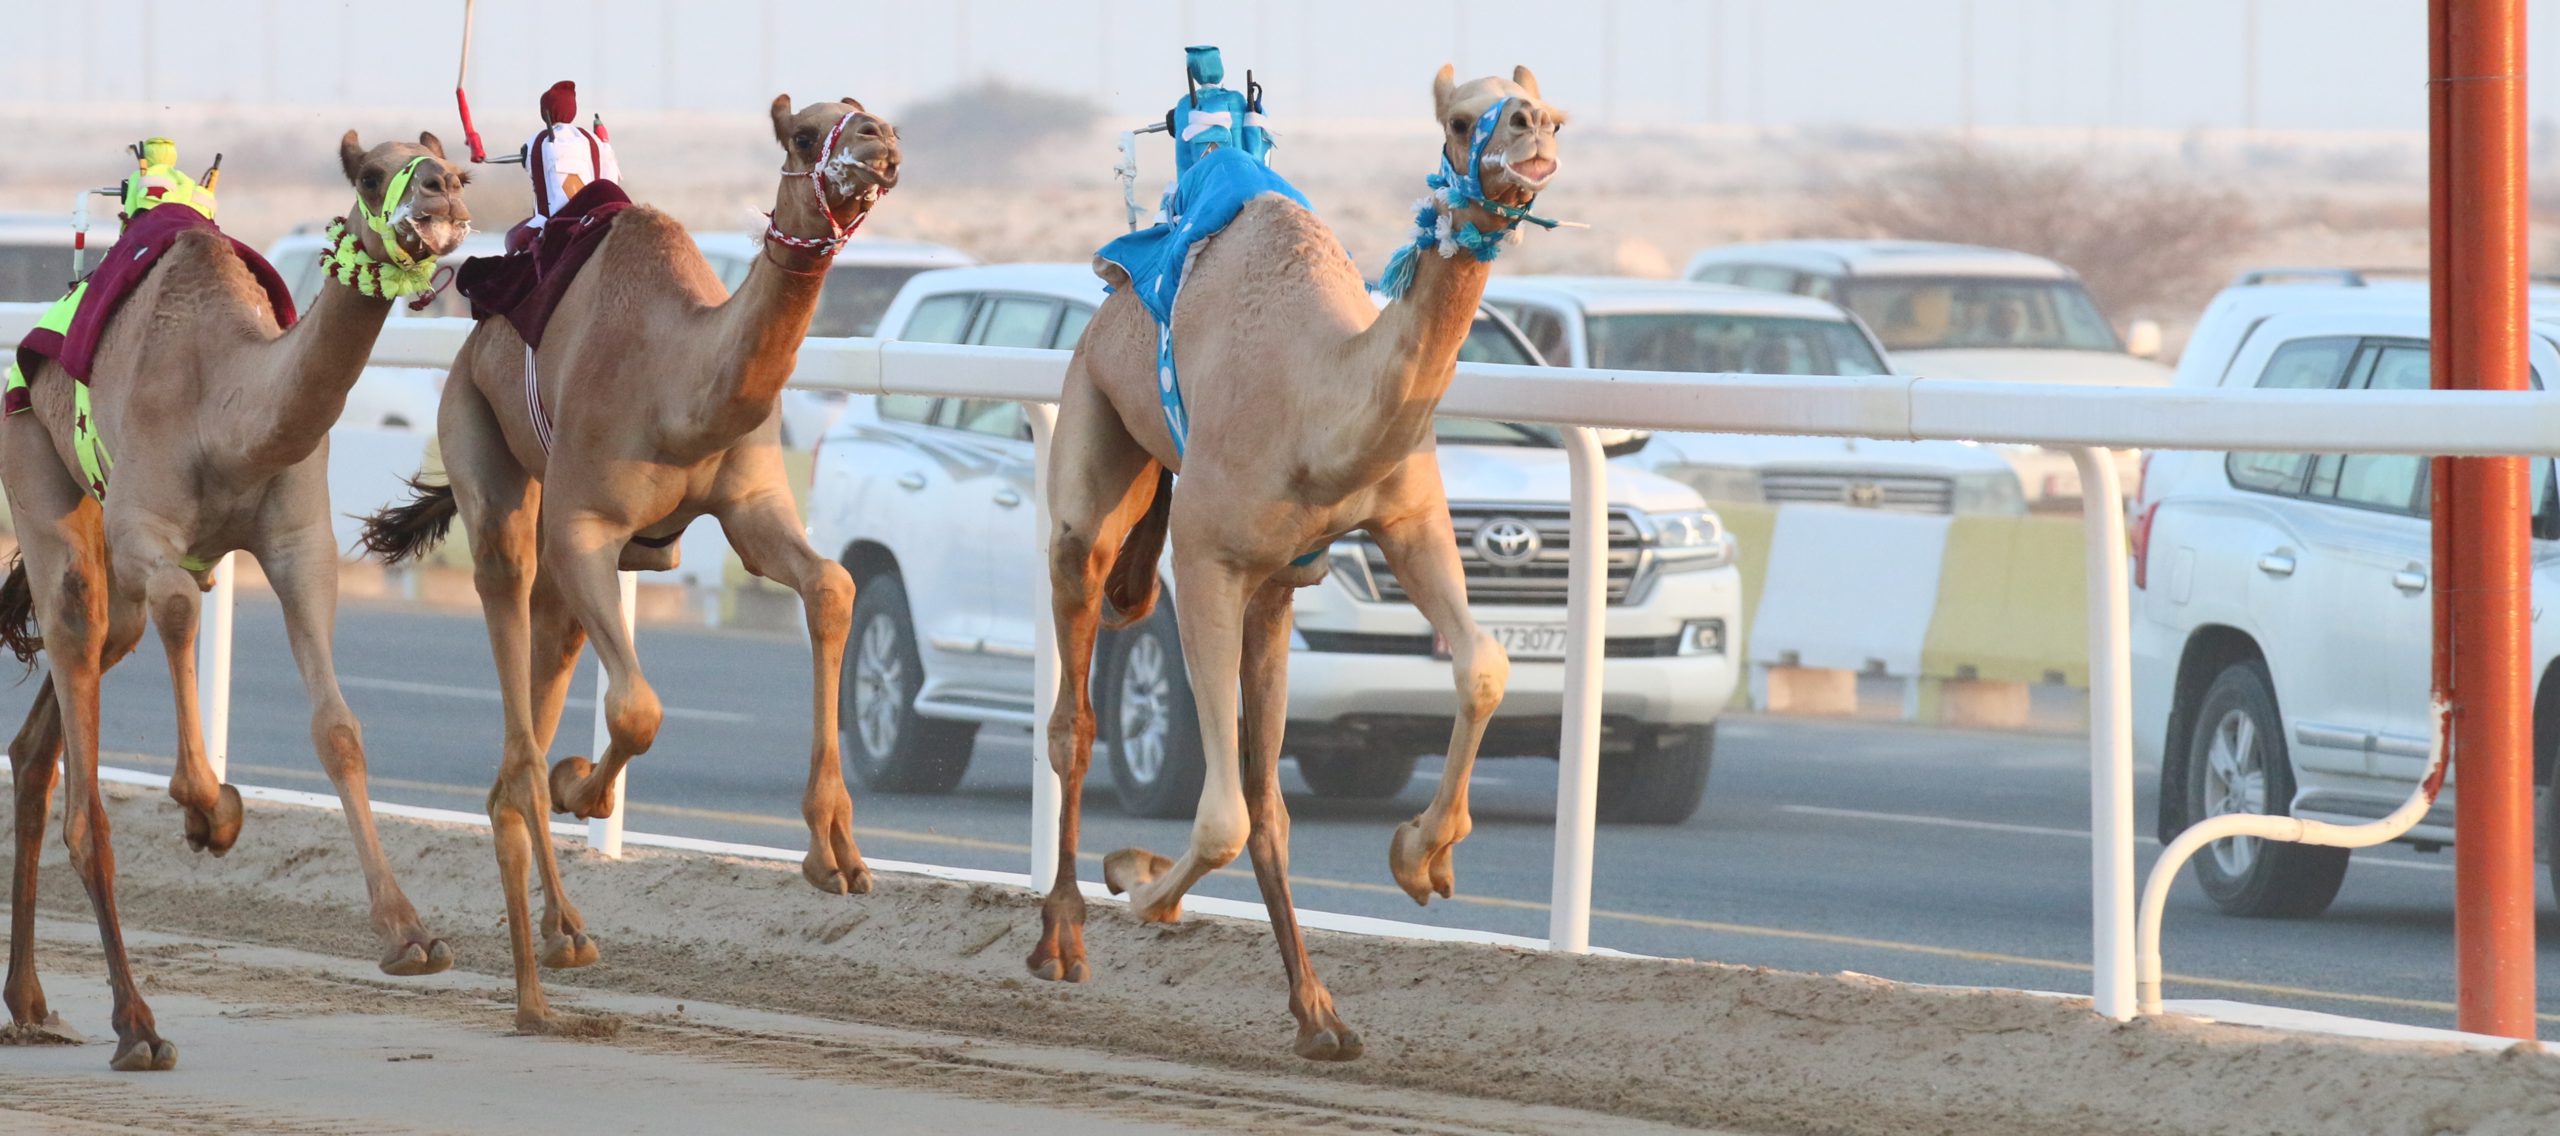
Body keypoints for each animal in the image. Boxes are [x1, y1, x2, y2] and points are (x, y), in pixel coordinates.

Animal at [0, 128, 476, 1069]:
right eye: (373, 174)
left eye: (452, 163)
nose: (441, 192)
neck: (225, 411)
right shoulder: (145, 533)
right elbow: (187, 608)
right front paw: (207, 810)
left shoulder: (301, 546)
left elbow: (338, 729)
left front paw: (411, 936)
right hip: (39, 477)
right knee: (85, 757)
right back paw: (137, 1025)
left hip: (107, 576)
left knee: (43, 742)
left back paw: (32, 1004)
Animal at [360, 97, 901, 1038]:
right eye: (807, 133)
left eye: (865, 112)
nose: (881, 143)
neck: (679, 387)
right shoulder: (585, 529)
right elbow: (639, 710)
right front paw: (586, 790)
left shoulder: (752, 507)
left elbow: (832, 588)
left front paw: (836, 851)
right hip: (482, 448)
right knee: (512, 660)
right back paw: (547, 962)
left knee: (524, 730)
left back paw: (553, 943)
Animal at [1029, 51, 1566, 1064]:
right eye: (1459, 119)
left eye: (1548, 108)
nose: (1532, 131)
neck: (1320, 404)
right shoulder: (1204, 557)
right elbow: (1219, 815)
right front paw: (1139, 885)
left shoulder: (1406, 517)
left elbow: (1482, 663)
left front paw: (1420, 857)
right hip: (1093, 440)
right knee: (1074, 715)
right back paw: (1063, 936)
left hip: (1274, 594)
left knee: (1268, 796)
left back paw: (1318, 1012)